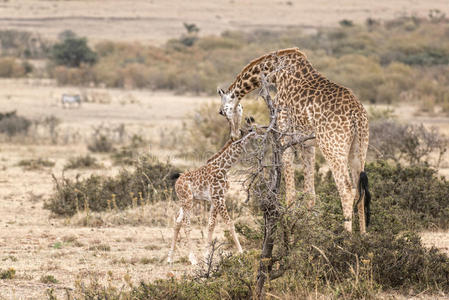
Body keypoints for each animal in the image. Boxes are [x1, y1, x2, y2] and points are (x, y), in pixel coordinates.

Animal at [166, 113, 254, 264]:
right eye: (247, 131)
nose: (255, 132)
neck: (224, 168)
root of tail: (177, 181)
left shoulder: (215, 199)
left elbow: (211, 225)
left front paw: (207, 256)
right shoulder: (219, 198)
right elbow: (229, 223)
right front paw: (242, 253)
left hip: (188, 200)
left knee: (177, 220)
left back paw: (170, 257)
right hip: (188, 200)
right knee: (186, 224)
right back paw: (192, 259)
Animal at [218, 48, 372, 233]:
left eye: (222, 112)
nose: (233, 136)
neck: (274, 73)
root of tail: (356, 114)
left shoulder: (284, 137)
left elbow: (290, 193)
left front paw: (288, 229)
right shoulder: (308, 144)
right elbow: (310, 193)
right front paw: (309, 230)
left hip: (332, 147)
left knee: (347, 189)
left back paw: (346, 236)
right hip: (359, 147)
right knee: (359, 188)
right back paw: (363, 236)